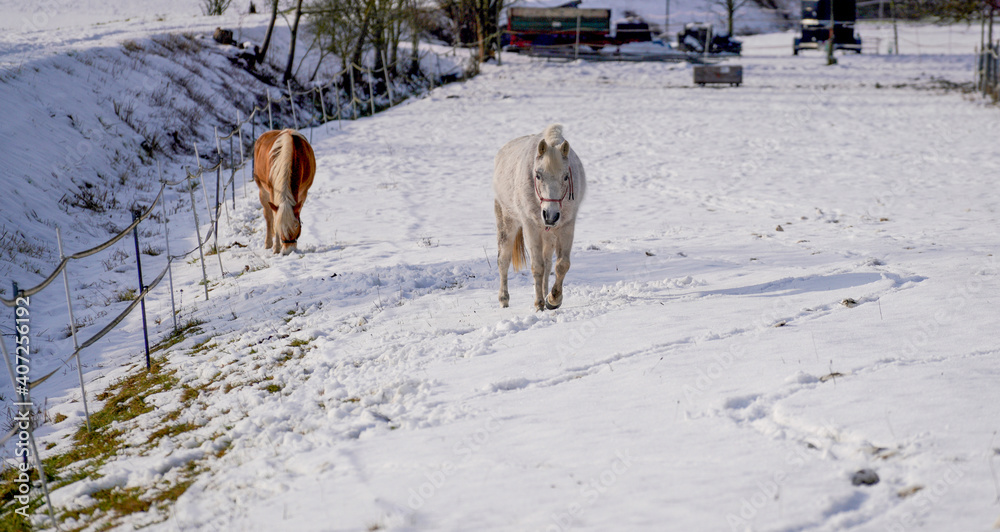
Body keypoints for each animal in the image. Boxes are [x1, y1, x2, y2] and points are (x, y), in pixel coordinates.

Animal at [493, 124, 587, 311]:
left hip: (548, 236)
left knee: (548, 263)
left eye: (566, 176)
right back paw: (504, 299)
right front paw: (539, 304)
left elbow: (561, 265)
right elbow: (537, 267)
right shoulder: (531, 227)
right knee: (503, 260)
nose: (550, 215)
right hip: (507, 221)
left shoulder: (567, 226)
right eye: (538, 175)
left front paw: (553, 299)